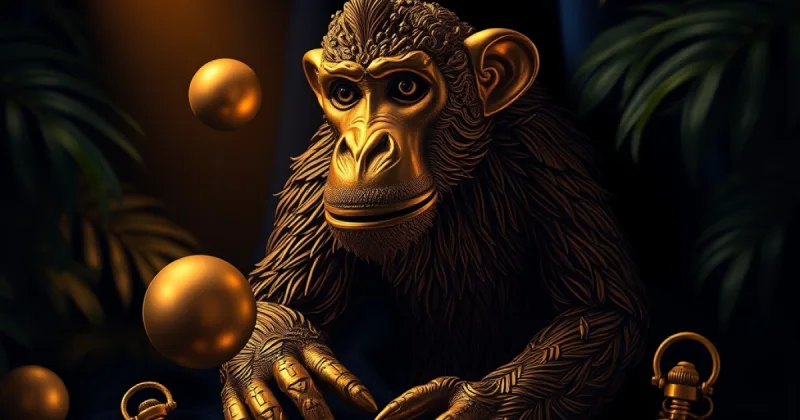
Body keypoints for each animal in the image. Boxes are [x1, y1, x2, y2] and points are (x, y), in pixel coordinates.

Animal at [219, 0, 648, 419]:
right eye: (343, 93)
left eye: (406, 87)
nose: (361, 149)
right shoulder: (319, 161)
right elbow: (277, 296)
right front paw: (273, 354)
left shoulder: (546, 152)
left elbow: (601, 310)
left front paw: (473, 401)